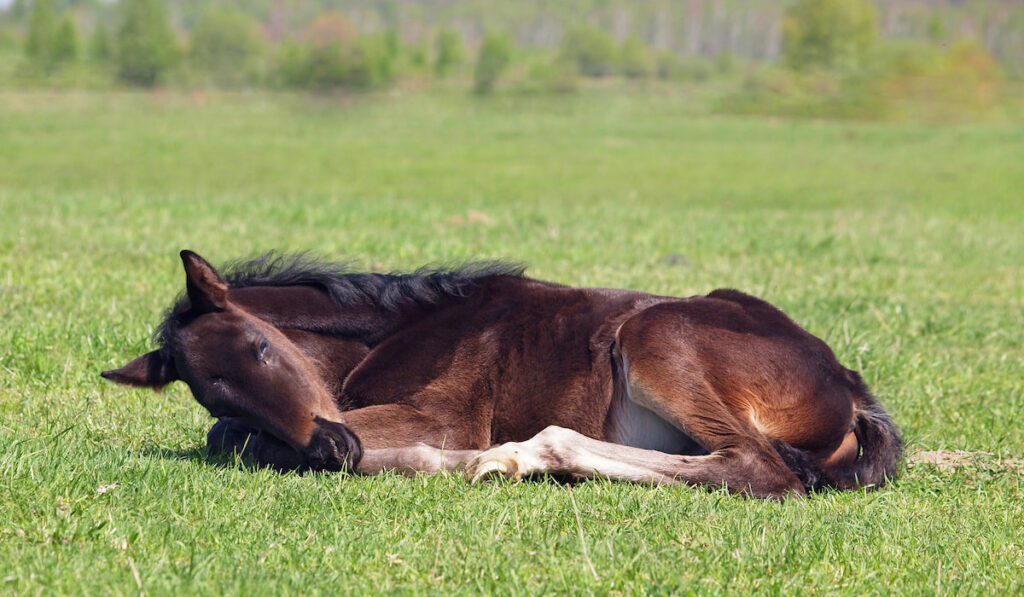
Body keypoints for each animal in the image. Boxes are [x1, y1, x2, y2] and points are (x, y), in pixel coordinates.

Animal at [103, 249, 901, 497]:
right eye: (214, 393)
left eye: (261, 348)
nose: (334, 447)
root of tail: (847, 382)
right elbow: (231, 439)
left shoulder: (445, 412)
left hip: (657, 333)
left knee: (755, 466)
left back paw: (523, 455)